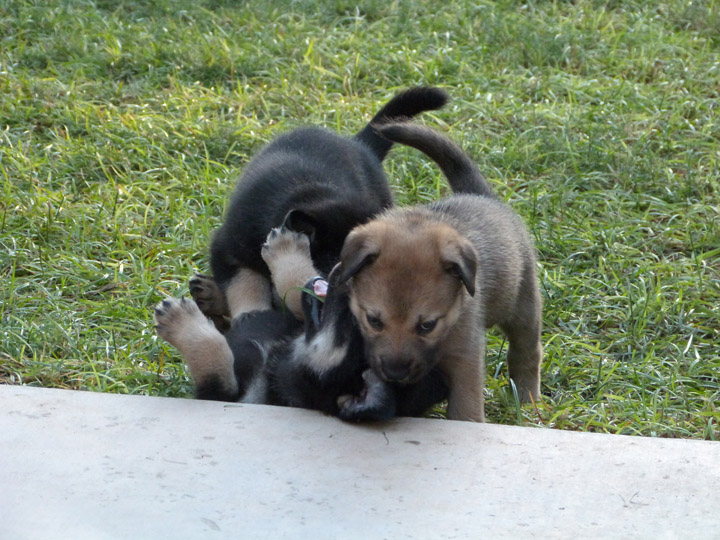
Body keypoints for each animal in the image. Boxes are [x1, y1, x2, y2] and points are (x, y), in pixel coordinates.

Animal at [338, 123, 540, 422]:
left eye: (427, 325)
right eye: (373, 320)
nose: (395, 373)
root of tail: (481, 195)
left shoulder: (465, 359)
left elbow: (465, 411)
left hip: (524, 306)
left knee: (526, 352)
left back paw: (528, 399)